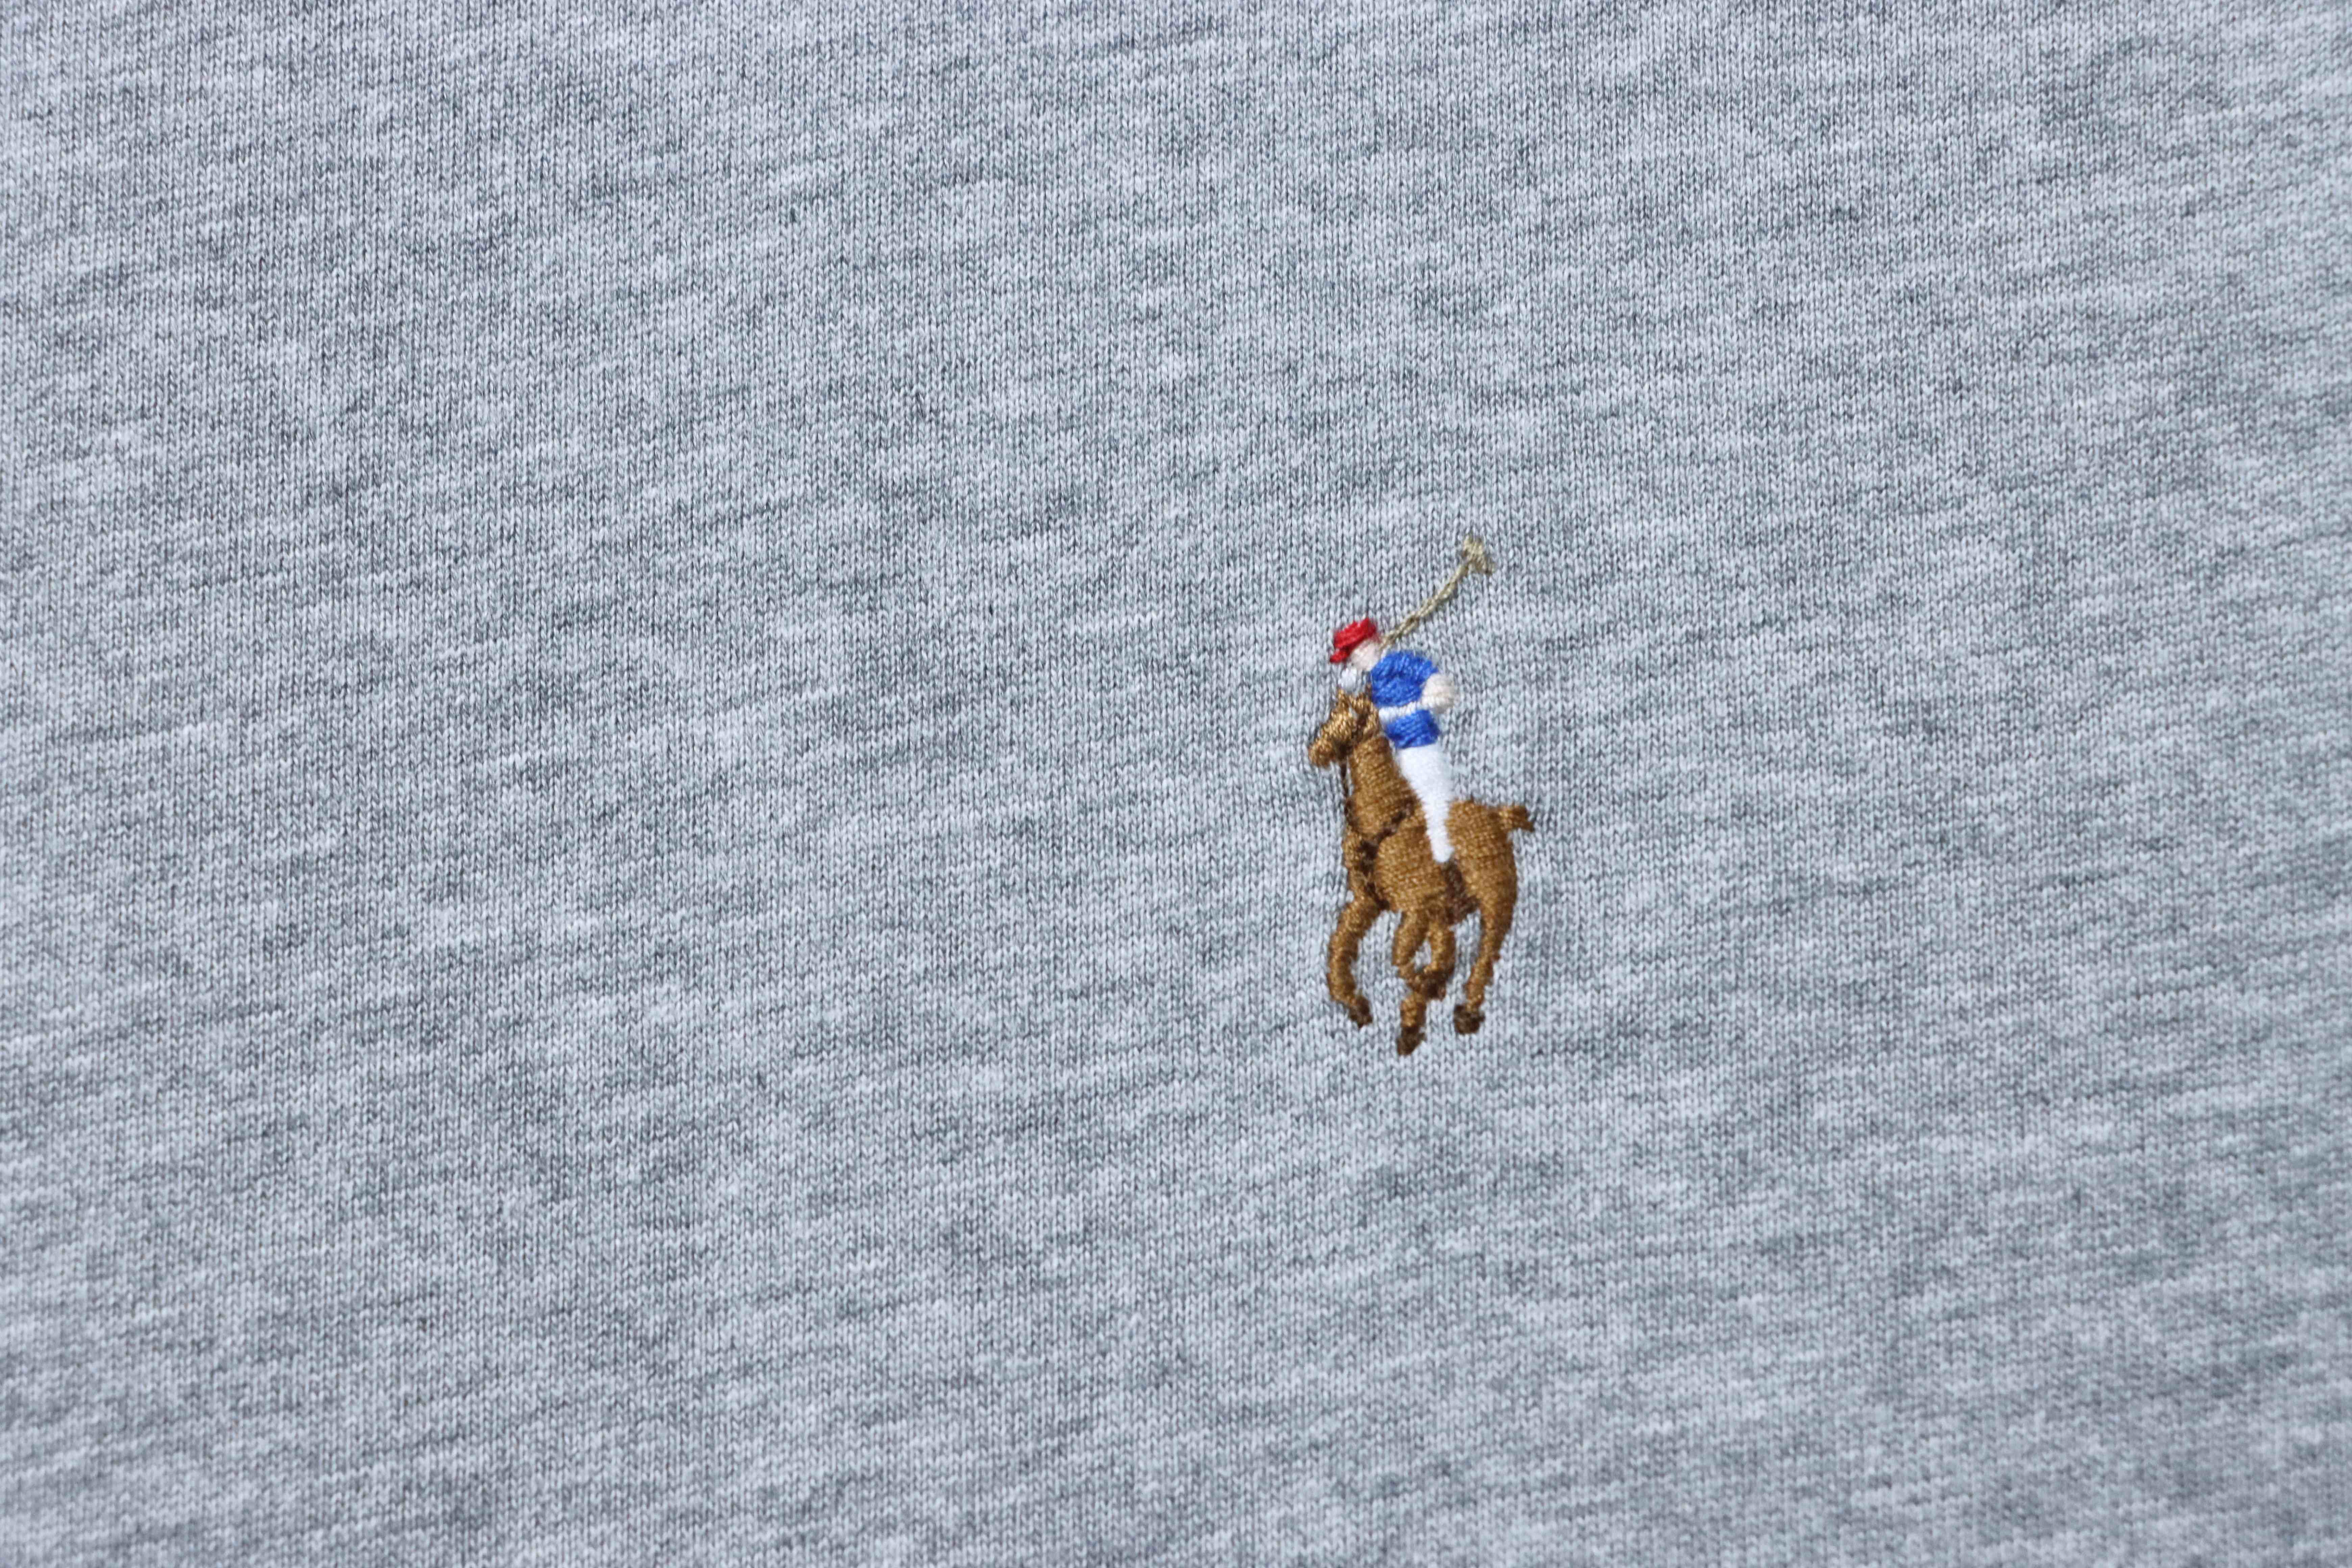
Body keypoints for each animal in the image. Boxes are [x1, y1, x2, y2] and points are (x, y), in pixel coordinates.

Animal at [1306, 690, 1532, 1055]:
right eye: (1332, 711)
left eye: (1350, 715)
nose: (1317, 751)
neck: (1384, 818)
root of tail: (1499, 816)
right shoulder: (1369, 901)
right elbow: (1342, 944)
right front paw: (1357, 1004)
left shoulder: (1418, 909)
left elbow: (1402, 956)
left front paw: (1422, 998)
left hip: (1496, 897)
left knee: (1486, 952)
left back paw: (1464, 1012)